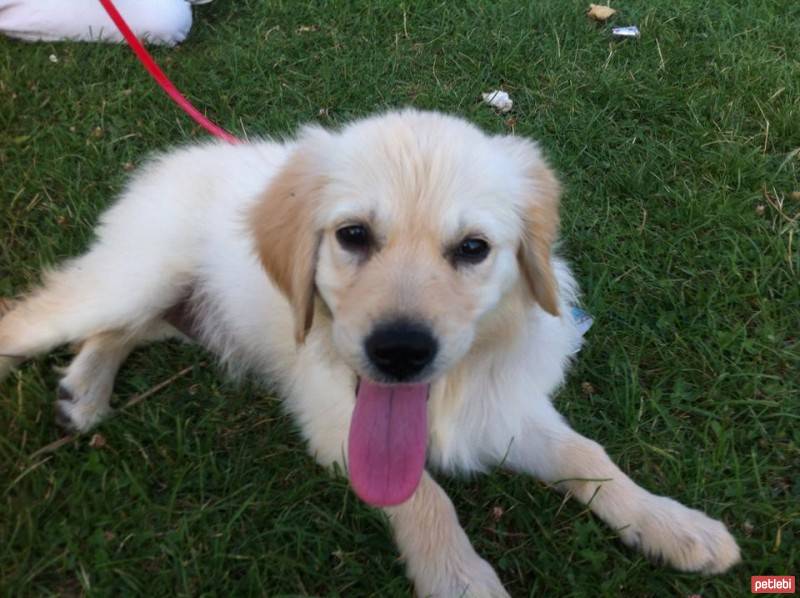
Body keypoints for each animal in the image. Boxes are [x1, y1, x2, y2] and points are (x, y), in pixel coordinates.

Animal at [0, 110, 736, 596]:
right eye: (353, 235)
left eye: (473, 248)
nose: (400, 352)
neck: (441, 395)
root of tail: (172, 161)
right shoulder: (337, 424)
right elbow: (424, 498)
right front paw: (461, 580)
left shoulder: (502, 409)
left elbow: (589, 458)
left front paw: (674, 525)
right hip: (132, 281)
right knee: (34, 318)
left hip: (177, 311)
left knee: (118, 330)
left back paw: (82, 392)